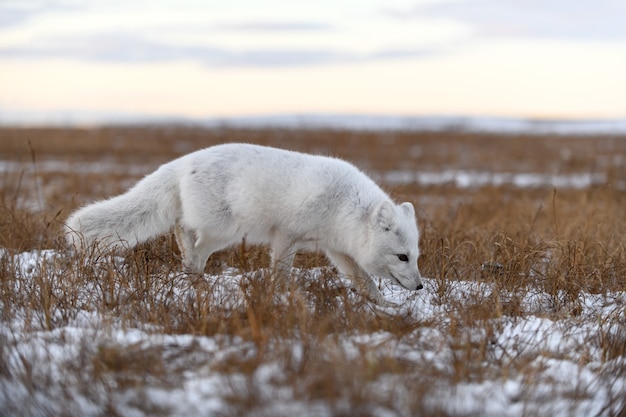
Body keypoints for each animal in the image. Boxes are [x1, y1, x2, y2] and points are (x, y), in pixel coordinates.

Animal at [64, 144, 424, 306]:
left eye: (416, 256)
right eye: (402, 257)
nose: (421, 287)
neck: (344, 207)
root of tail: (182, 161)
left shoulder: (338, 249)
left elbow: (365, 281)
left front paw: (387, 308)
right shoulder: (286, 236)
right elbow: (281, 271)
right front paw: (280, 297)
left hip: (219, 231)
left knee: (185, 238)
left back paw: (195, 279)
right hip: (225, 230)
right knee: (188, 238)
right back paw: (198, 281)